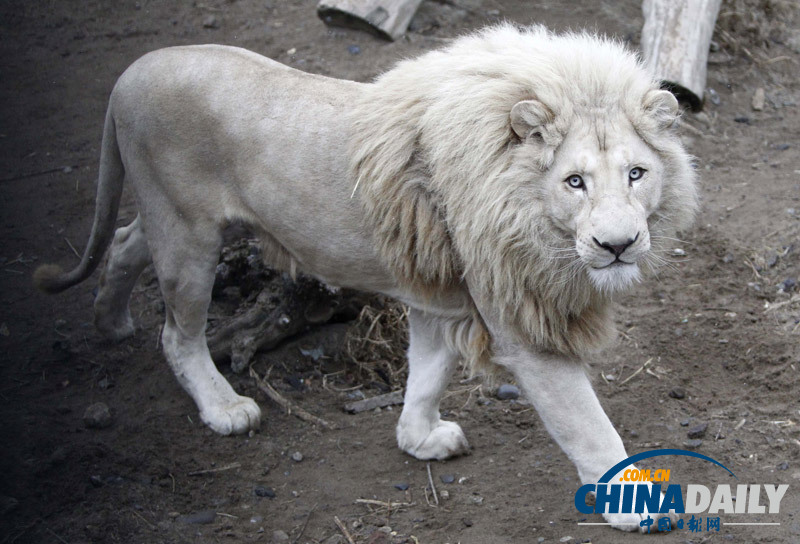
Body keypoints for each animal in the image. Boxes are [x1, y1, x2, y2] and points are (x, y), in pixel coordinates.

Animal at [34, 25, 692, 532]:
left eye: (636, 174)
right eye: (575, 181)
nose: (617, 245)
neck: (528, 206)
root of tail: (133, 70)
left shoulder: (438, 292)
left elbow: (427, 372)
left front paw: (418, 438)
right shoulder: (520, 323)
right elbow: (588, 423)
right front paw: (633, 503)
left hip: (170, 222)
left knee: (123, 244)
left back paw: (110, 320)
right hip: (187, 237)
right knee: (176, 332)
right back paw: (224, 407)